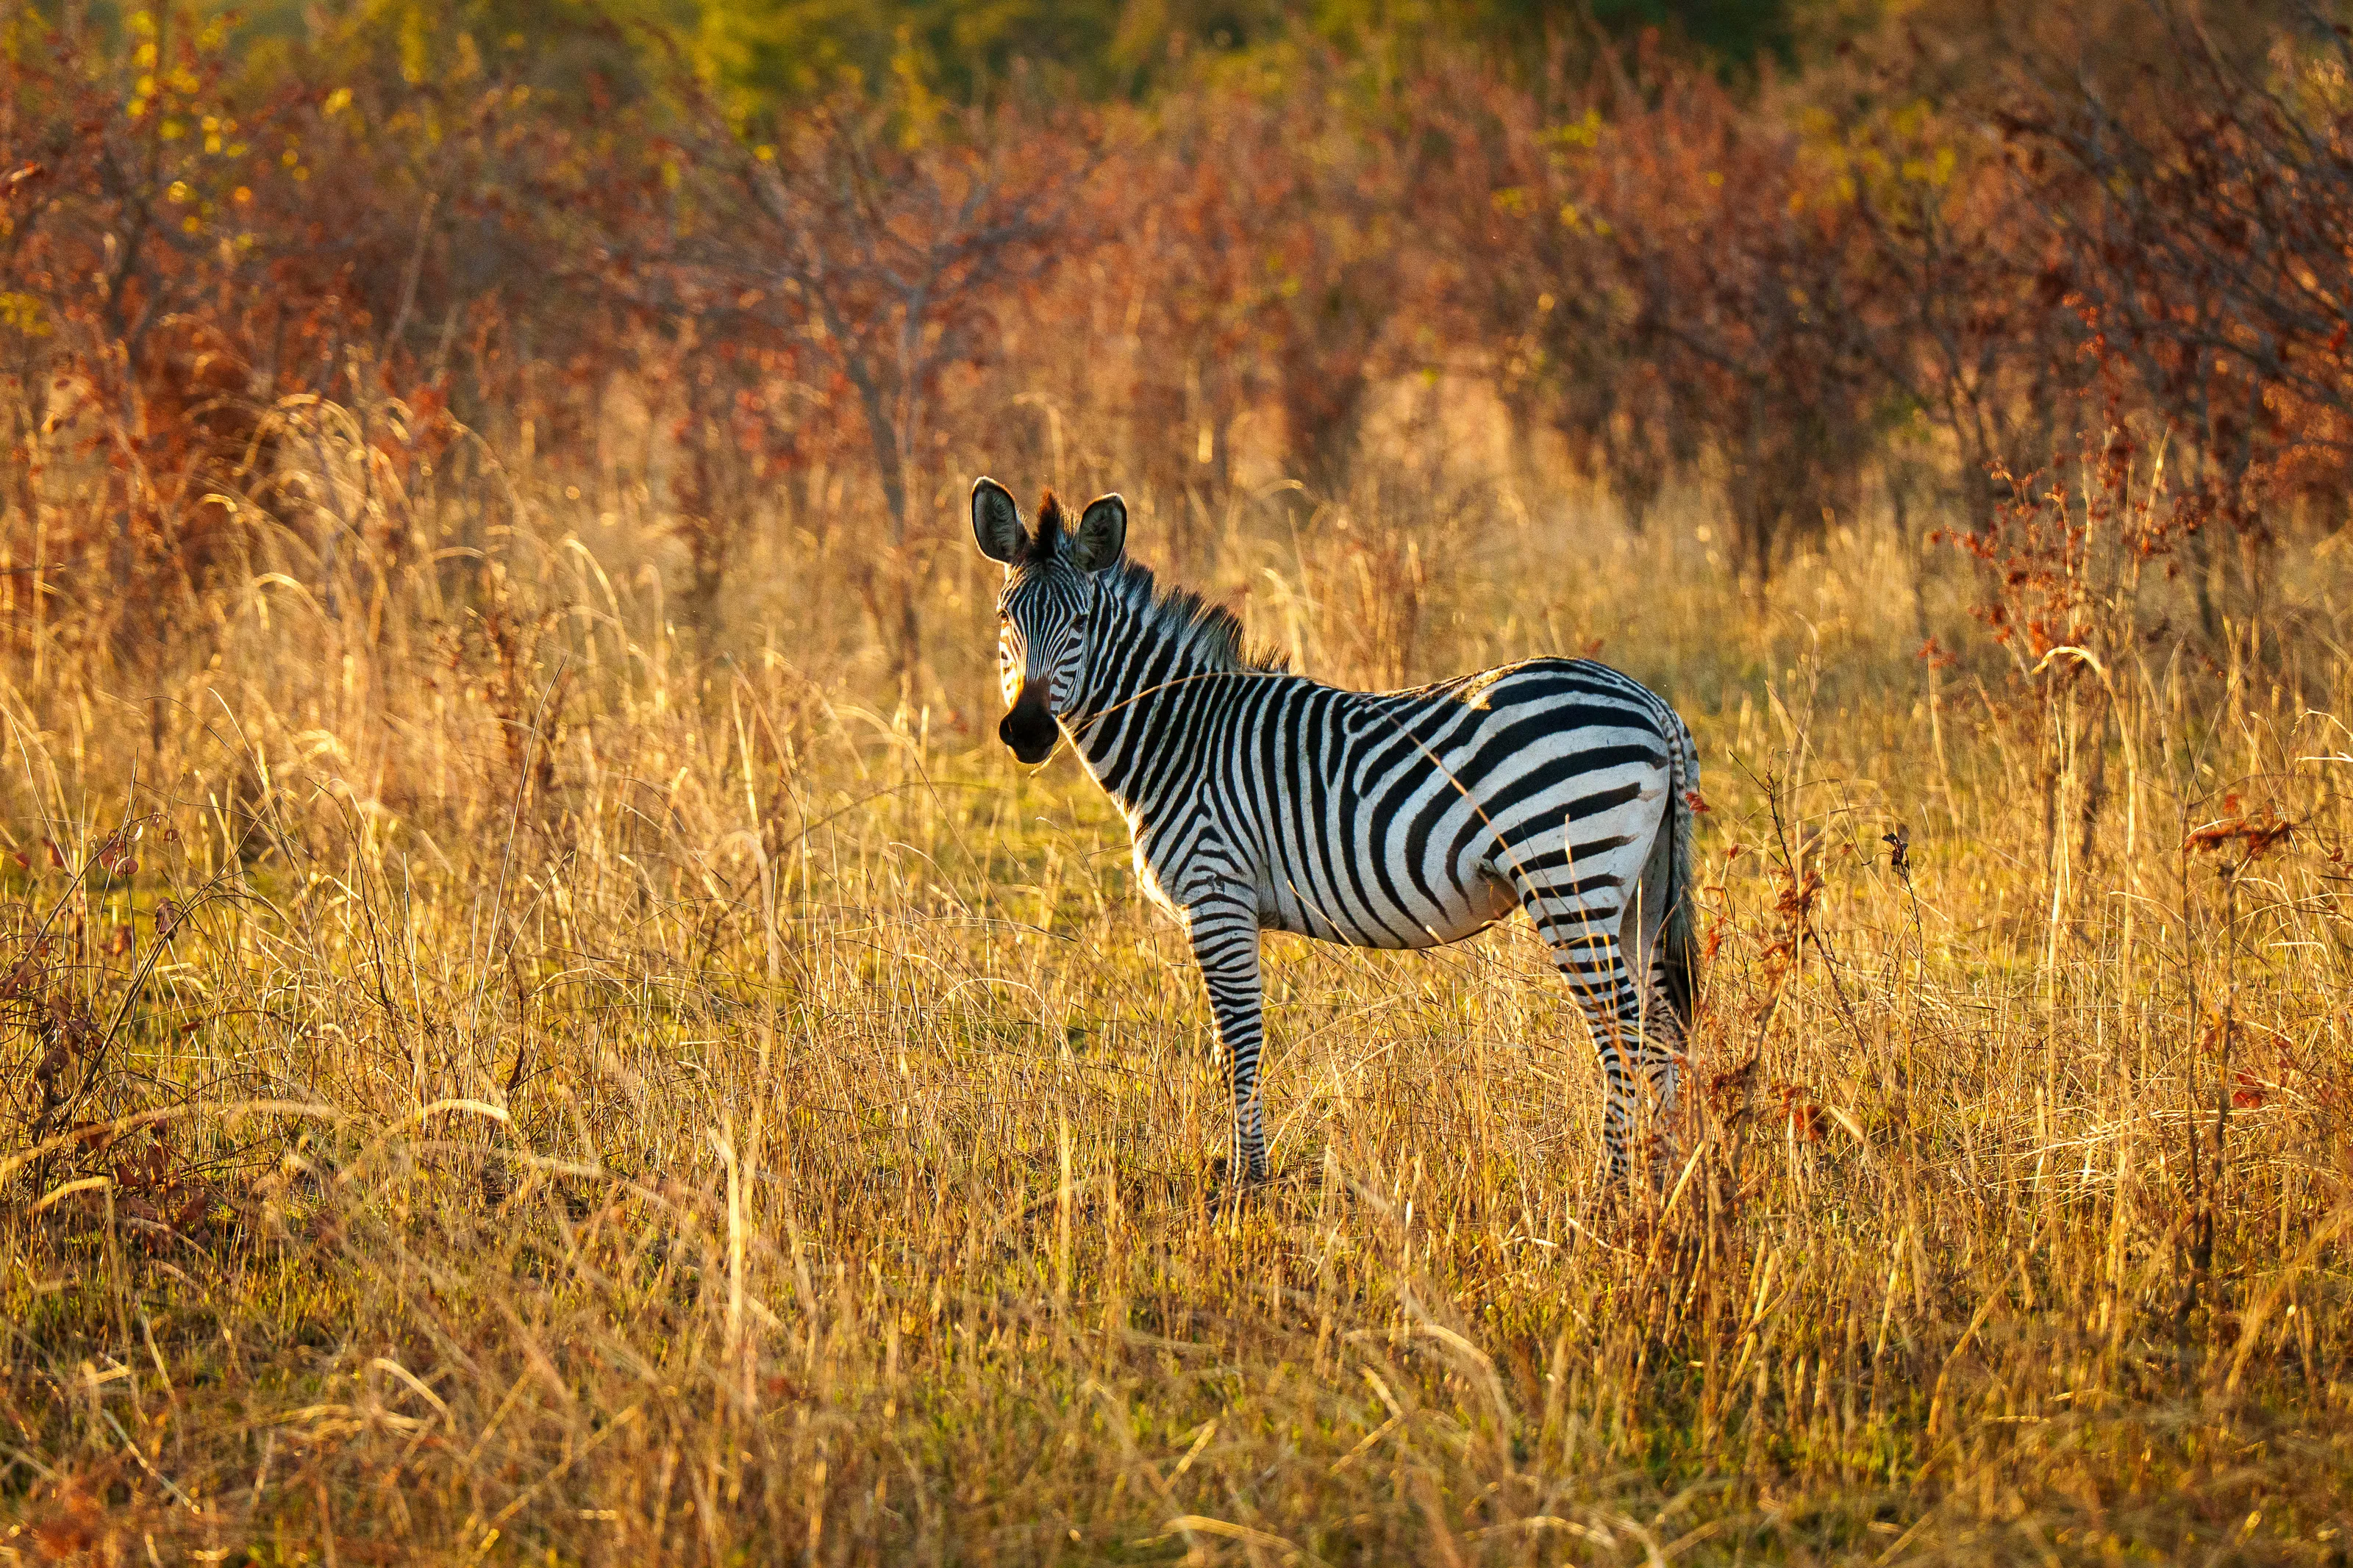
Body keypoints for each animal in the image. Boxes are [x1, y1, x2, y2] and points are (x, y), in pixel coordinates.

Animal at [973, 477, 1701, 1186]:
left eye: (1081, 623)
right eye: (1005, 618)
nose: (1027, 731)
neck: (1180, 736)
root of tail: (1653, 703)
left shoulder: (1216, 893)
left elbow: (1238, 1041)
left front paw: (1247, 1180)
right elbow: (1229, 1044)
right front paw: (1247, 1170)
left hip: (1568, 878)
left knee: (1625, 1034)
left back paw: (1611, 1190)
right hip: (1637, 893)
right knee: (1662, 1031)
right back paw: (1665, 1182)